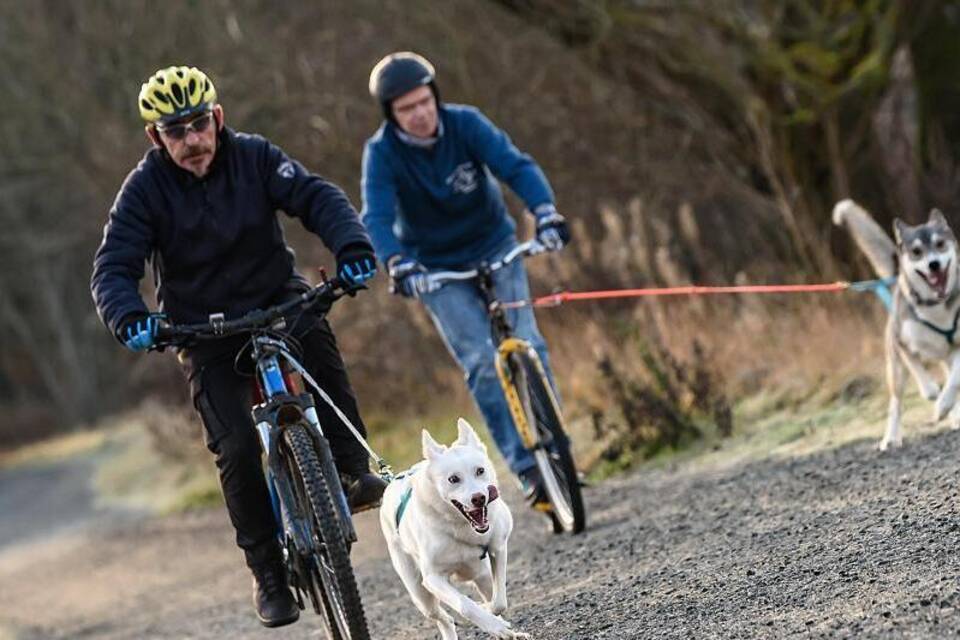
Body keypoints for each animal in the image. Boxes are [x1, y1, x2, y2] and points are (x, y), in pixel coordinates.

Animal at [378, 418, 532, 636]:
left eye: (480, 471)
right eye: (453, 479)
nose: (479, 498)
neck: (462, 527)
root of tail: (391, 483)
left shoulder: (498, 549)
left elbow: (500, 600)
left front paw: (495, 617)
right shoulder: (433, 578)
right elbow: (465, 605)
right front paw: (494, 625)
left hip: (481, 574)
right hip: (419, 592)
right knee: (443, 618)